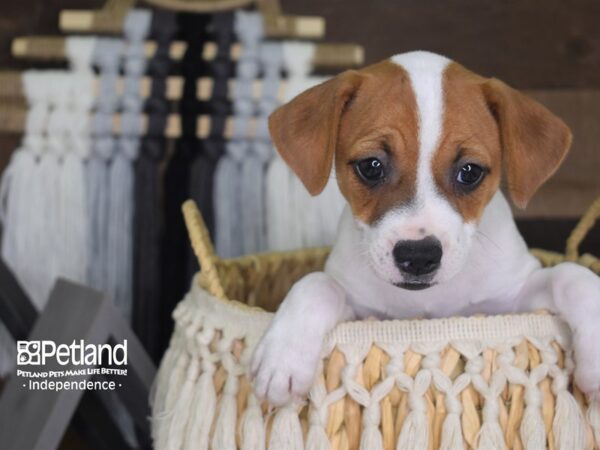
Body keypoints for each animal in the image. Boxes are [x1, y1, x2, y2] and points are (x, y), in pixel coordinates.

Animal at [248, 51, 600, 406]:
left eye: (470, 171)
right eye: (370, 166)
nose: (418, 257)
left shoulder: (514, 300)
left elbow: (571, 275)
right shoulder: (360, 312)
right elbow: (317, 283)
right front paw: (284, 355)